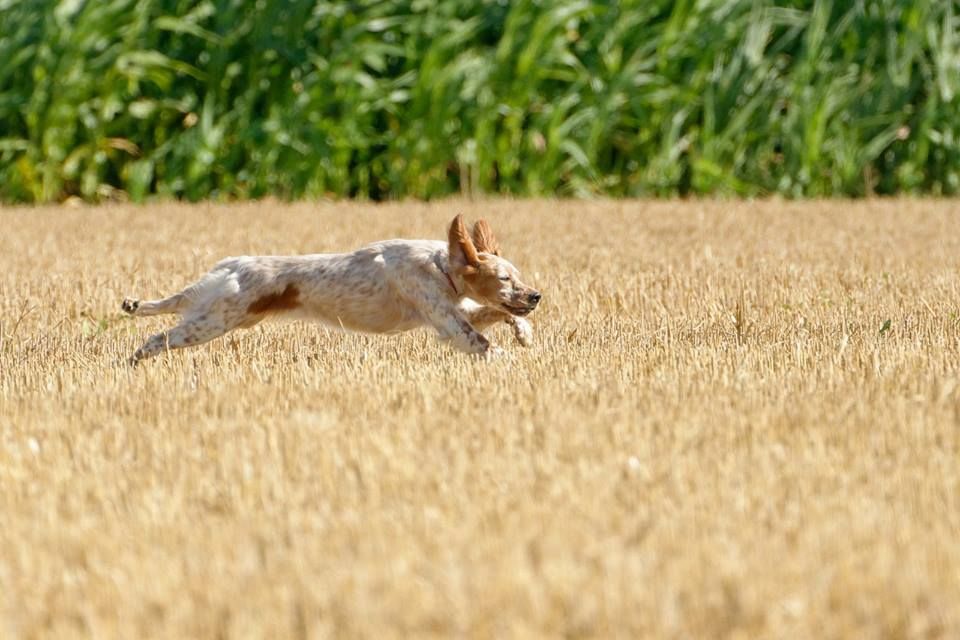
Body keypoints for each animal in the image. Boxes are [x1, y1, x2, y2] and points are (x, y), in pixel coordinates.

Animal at [121, 215, 540, 364]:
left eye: (518, 277)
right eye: (505, 279)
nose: (535, 296)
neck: (439, 266)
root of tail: (232, 265)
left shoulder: (454, 310)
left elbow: (497, 313)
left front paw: (524, 333)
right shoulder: (448, 321)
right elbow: (482, 341)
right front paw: (514, 360)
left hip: (222, 314)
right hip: (215, 320)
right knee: (160, 336)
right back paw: (131, 361)